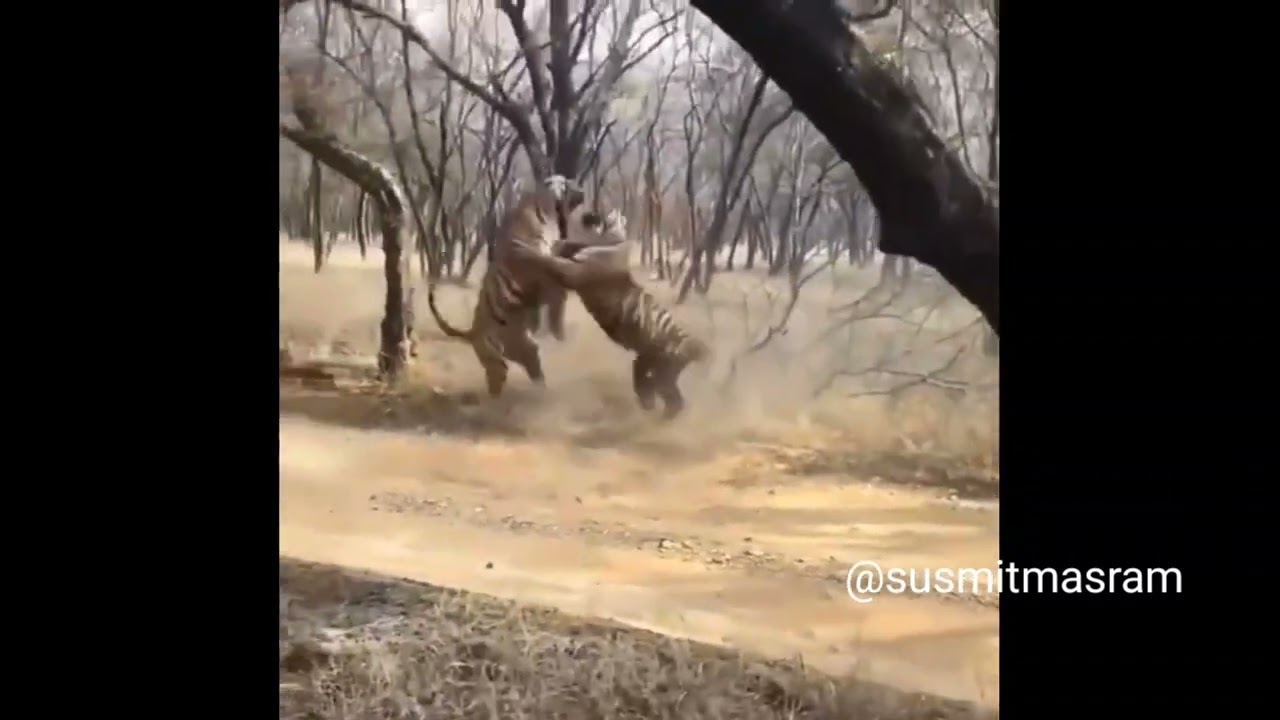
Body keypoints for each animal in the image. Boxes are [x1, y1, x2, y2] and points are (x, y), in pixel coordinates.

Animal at [425, 175, 613, 398]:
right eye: (569, 183)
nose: (583, 191)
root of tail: (471, 331)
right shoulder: (541, 270)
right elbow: (557, 286)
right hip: (499, 357)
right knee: (500, 380)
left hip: (521, 346)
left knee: (531, 368)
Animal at [508, 210, 711, 419]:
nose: (592, 214)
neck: (612, 243)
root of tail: (687, 341)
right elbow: (568, 248)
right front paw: (554, 243)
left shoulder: (575, 273)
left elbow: (550, 261)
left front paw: (523, 249)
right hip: (647, 363)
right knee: (657, 390)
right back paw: (650, 406)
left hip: (662, 370)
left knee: (671, 397)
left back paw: (658, 415)